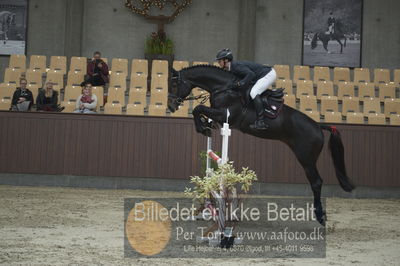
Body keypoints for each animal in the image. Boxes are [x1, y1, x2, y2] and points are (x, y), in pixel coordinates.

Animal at [167, 64, 354, 224]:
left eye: (175, 84)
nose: (170, 106)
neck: (224, 87)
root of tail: (318, 126)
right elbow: (200, 112)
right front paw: (206, 127)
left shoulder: (225, 115)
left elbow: (198, 108)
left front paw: (202, 127)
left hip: (306, 158)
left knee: (316, 182)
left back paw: (320, 216)